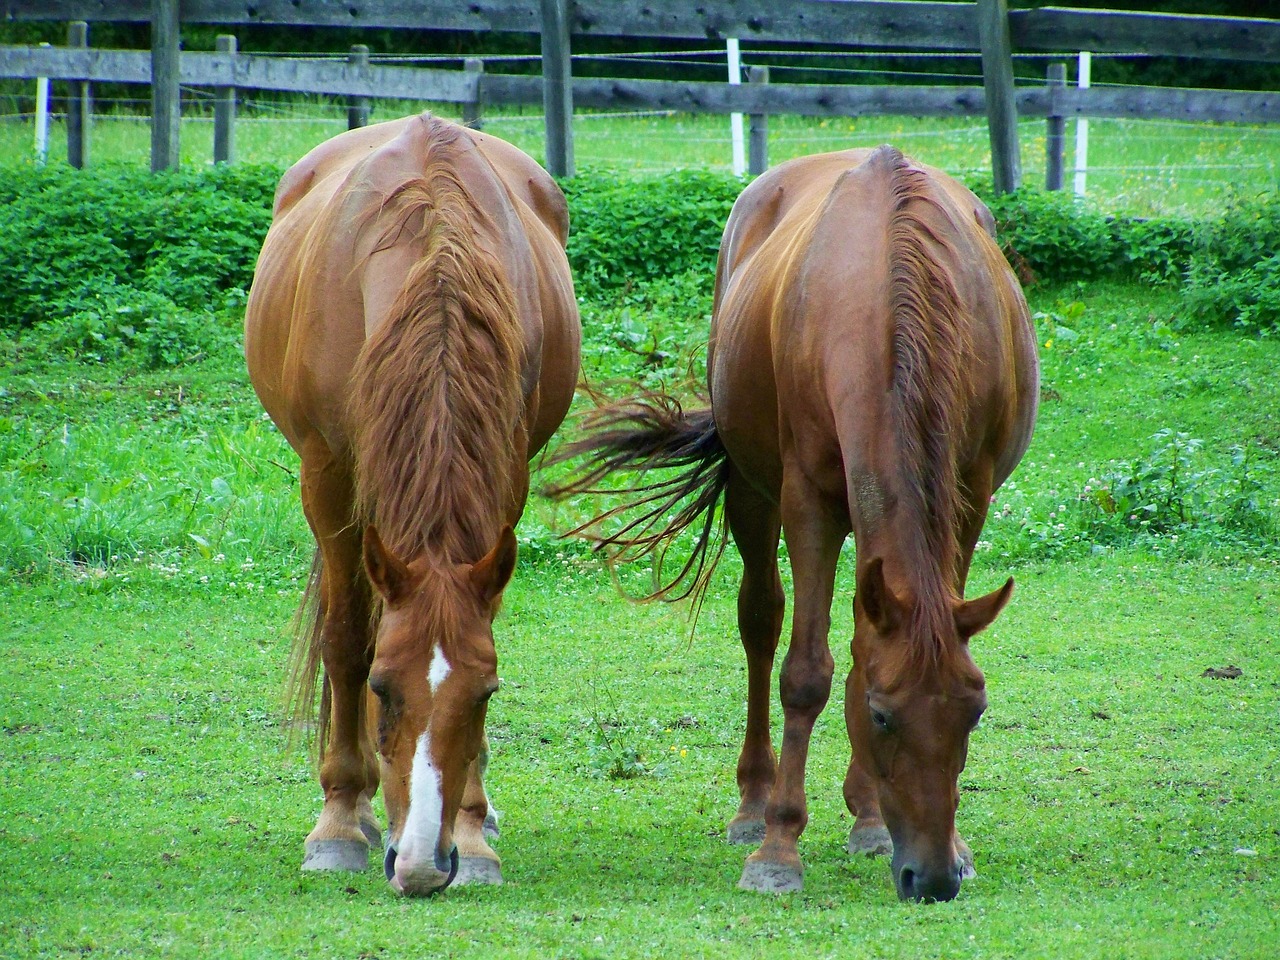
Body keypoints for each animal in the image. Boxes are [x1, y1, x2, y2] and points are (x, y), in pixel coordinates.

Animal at [243, 116, 581, 901]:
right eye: (383, 690)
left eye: (486, 694)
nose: (424, 865)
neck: (434, 262)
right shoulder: (329, 476)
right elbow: (344, 639)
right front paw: (339, 822)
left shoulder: (506, 475)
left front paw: (473, 831)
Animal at [555, 148, 1034, 901]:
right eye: (882, 715)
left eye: (975, 711)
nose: (930, 879)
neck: (888, 292)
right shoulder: (808, 501)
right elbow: (804, 673)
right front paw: (779, 849)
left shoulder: (968, 496)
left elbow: (866, 651)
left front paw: (950, 844)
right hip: (755, 494)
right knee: (761, 622)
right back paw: (755, 804)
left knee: (861, 633)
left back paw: (868, 817)